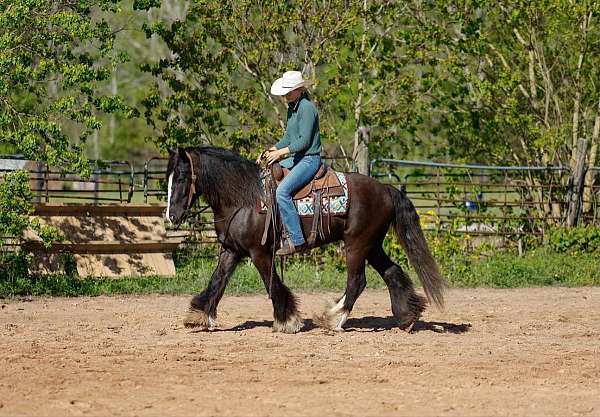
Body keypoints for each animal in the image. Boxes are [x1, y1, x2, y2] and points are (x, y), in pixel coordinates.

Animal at [165, 146, 446, 332]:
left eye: (181, 177)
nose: (172, 216)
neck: (244, 199)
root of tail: (386, 189)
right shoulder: (231, 250)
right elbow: (217, 282)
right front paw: (200, 315)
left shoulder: (259, 253)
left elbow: (272, 284)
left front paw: (287, 319)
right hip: (372, 245)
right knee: (392, 272)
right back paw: (407, 316)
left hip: (357, 245)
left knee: (357, 281)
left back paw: (333, 319)